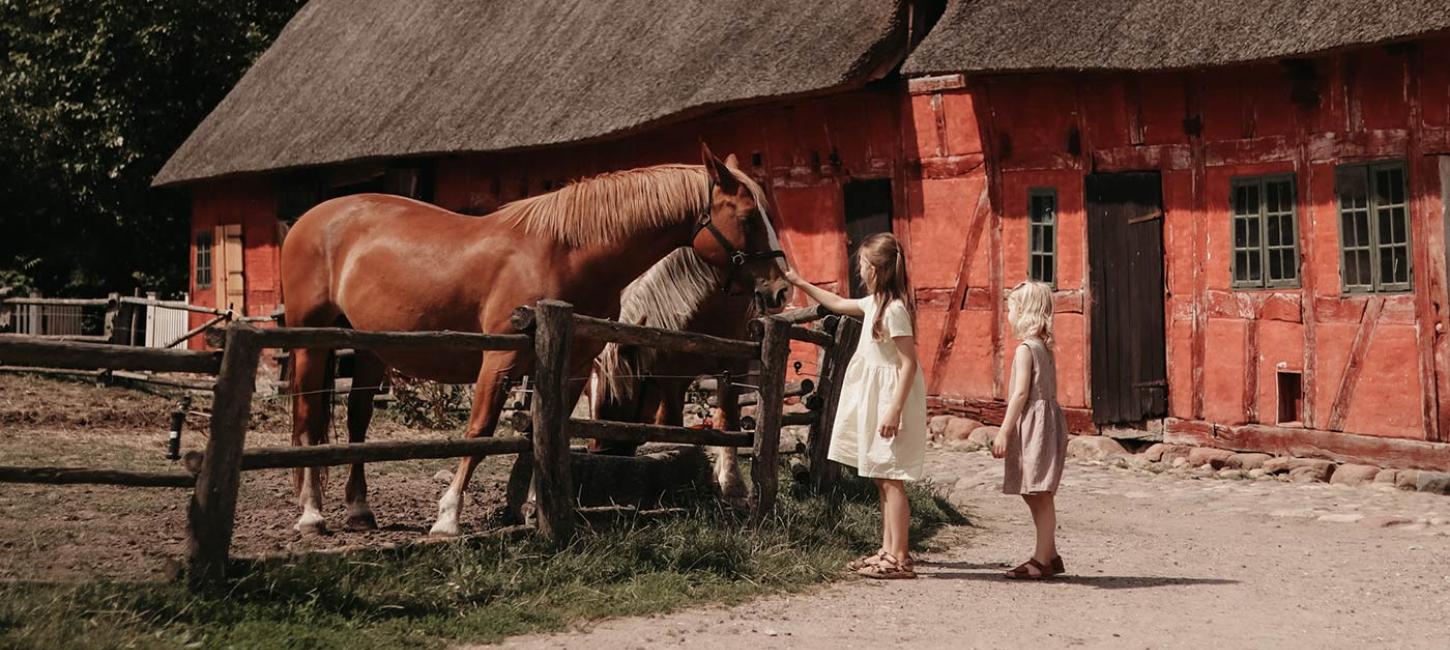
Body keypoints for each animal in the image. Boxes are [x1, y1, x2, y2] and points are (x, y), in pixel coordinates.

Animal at [276, 148, 788, 539]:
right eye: (748, 217)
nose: (780, 290)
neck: (566, 252)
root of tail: (311, 218)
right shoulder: (498, 360)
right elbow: (480, 432)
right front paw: (448, 517)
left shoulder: (572, 366)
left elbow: (549, 434)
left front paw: (546, 507)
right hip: (309, 341)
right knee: (305, 417)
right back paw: (312, 514)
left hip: (367, 349)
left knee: (358, 420)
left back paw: (359, 511)